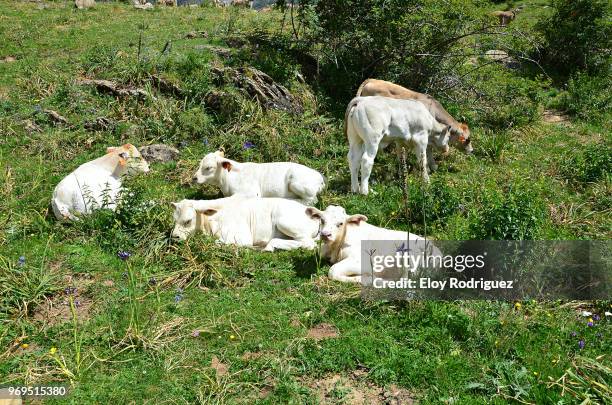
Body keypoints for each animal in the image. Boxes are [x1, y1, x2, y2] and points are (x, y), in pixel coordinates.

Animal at [170, 195, 318, 251]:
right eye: (174, 220)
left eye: (188, 221)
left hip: (284, 221)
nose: (175, 237)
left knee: (308, 244)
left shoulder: (241, 237)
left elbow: (218, 243)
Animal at [194, 149, 326, 204]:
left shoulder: (251, 193)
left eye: (208, 167)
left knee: (311, 201)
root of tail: (320, 178)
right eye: (200, 164)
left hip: (297, 184)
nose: (194, 178)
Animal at [304, 205, 438, 280]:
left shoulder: (362, 261)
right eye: (322, 220)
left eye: (340, 223)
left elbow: (333, 271)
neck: (335, 248)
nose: (325, 234)